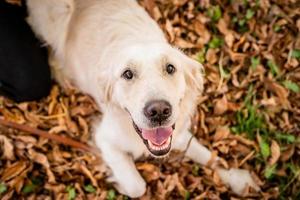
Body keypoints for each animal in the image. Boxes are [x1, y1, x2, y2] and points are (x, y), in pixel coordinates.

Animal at [26, 0, 260, 197]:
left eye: (170, 68)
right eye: (127, 74)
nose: (159, 111)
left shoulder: (177, 133)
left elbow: (208, 156)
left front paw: (237, 179)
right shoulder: (105, 138)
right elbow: (137, 186)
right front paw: (119, 183)